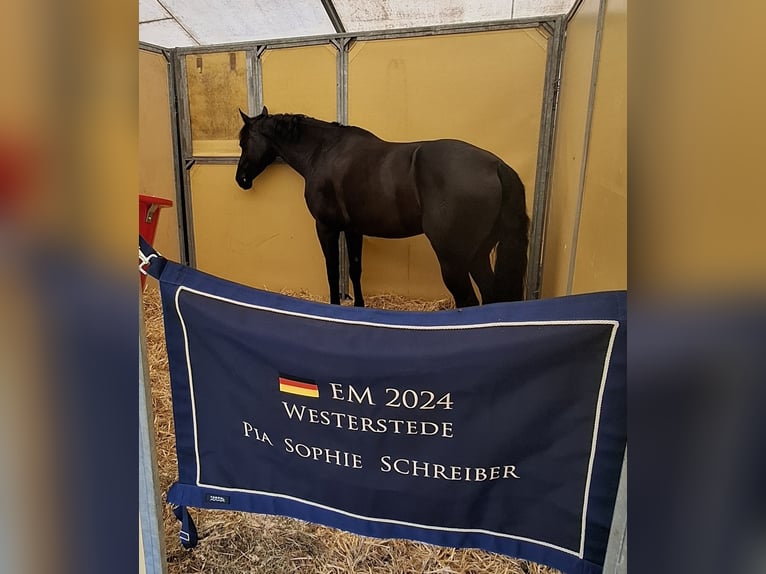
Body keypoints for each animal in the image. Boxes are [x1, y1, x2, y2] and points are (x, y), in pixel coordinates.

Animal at [237, 105, 532, 308]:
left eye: (243, 141)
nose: (241, 179)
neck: (324, 152)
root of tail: (497, 166)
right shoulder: (353, 229)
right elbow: (355, 269)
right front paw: (359, 306)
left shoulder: (326, 228)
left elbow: (332, 270)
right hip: (478, 255)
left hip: (455, 261)